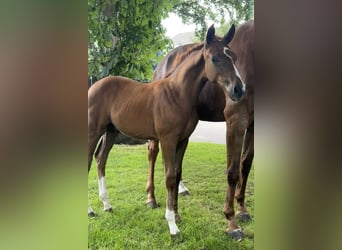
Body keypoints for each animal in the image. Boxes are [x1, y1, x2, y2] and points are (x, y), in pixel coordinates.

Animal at [87, 25, 244, 236]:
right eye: (215, 58)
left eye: (233, 57)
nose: (239, 90)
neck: (177, 94)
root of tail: (94, 85)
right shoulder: (167, 139)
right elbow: (169, 177)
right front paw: (172, 226)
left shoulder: (183, 140)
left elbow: (176, 175)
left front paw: (176, 216)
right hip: (93, 131)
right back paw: (90, 210)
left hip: (110, 131)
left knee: (101, 158)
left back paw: (107, 205)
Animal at [145, 20, 254, 238]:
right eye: (215, 59)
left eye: (236, 58)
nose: (240, 90)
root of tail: (162, 62)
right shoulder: (236, 120)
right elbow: (233, 171)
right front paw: (232, 222)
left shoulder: (254, 123)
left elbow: (245, 165)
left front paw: (242, 209)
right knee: (152, 153)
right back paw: (151, 198)